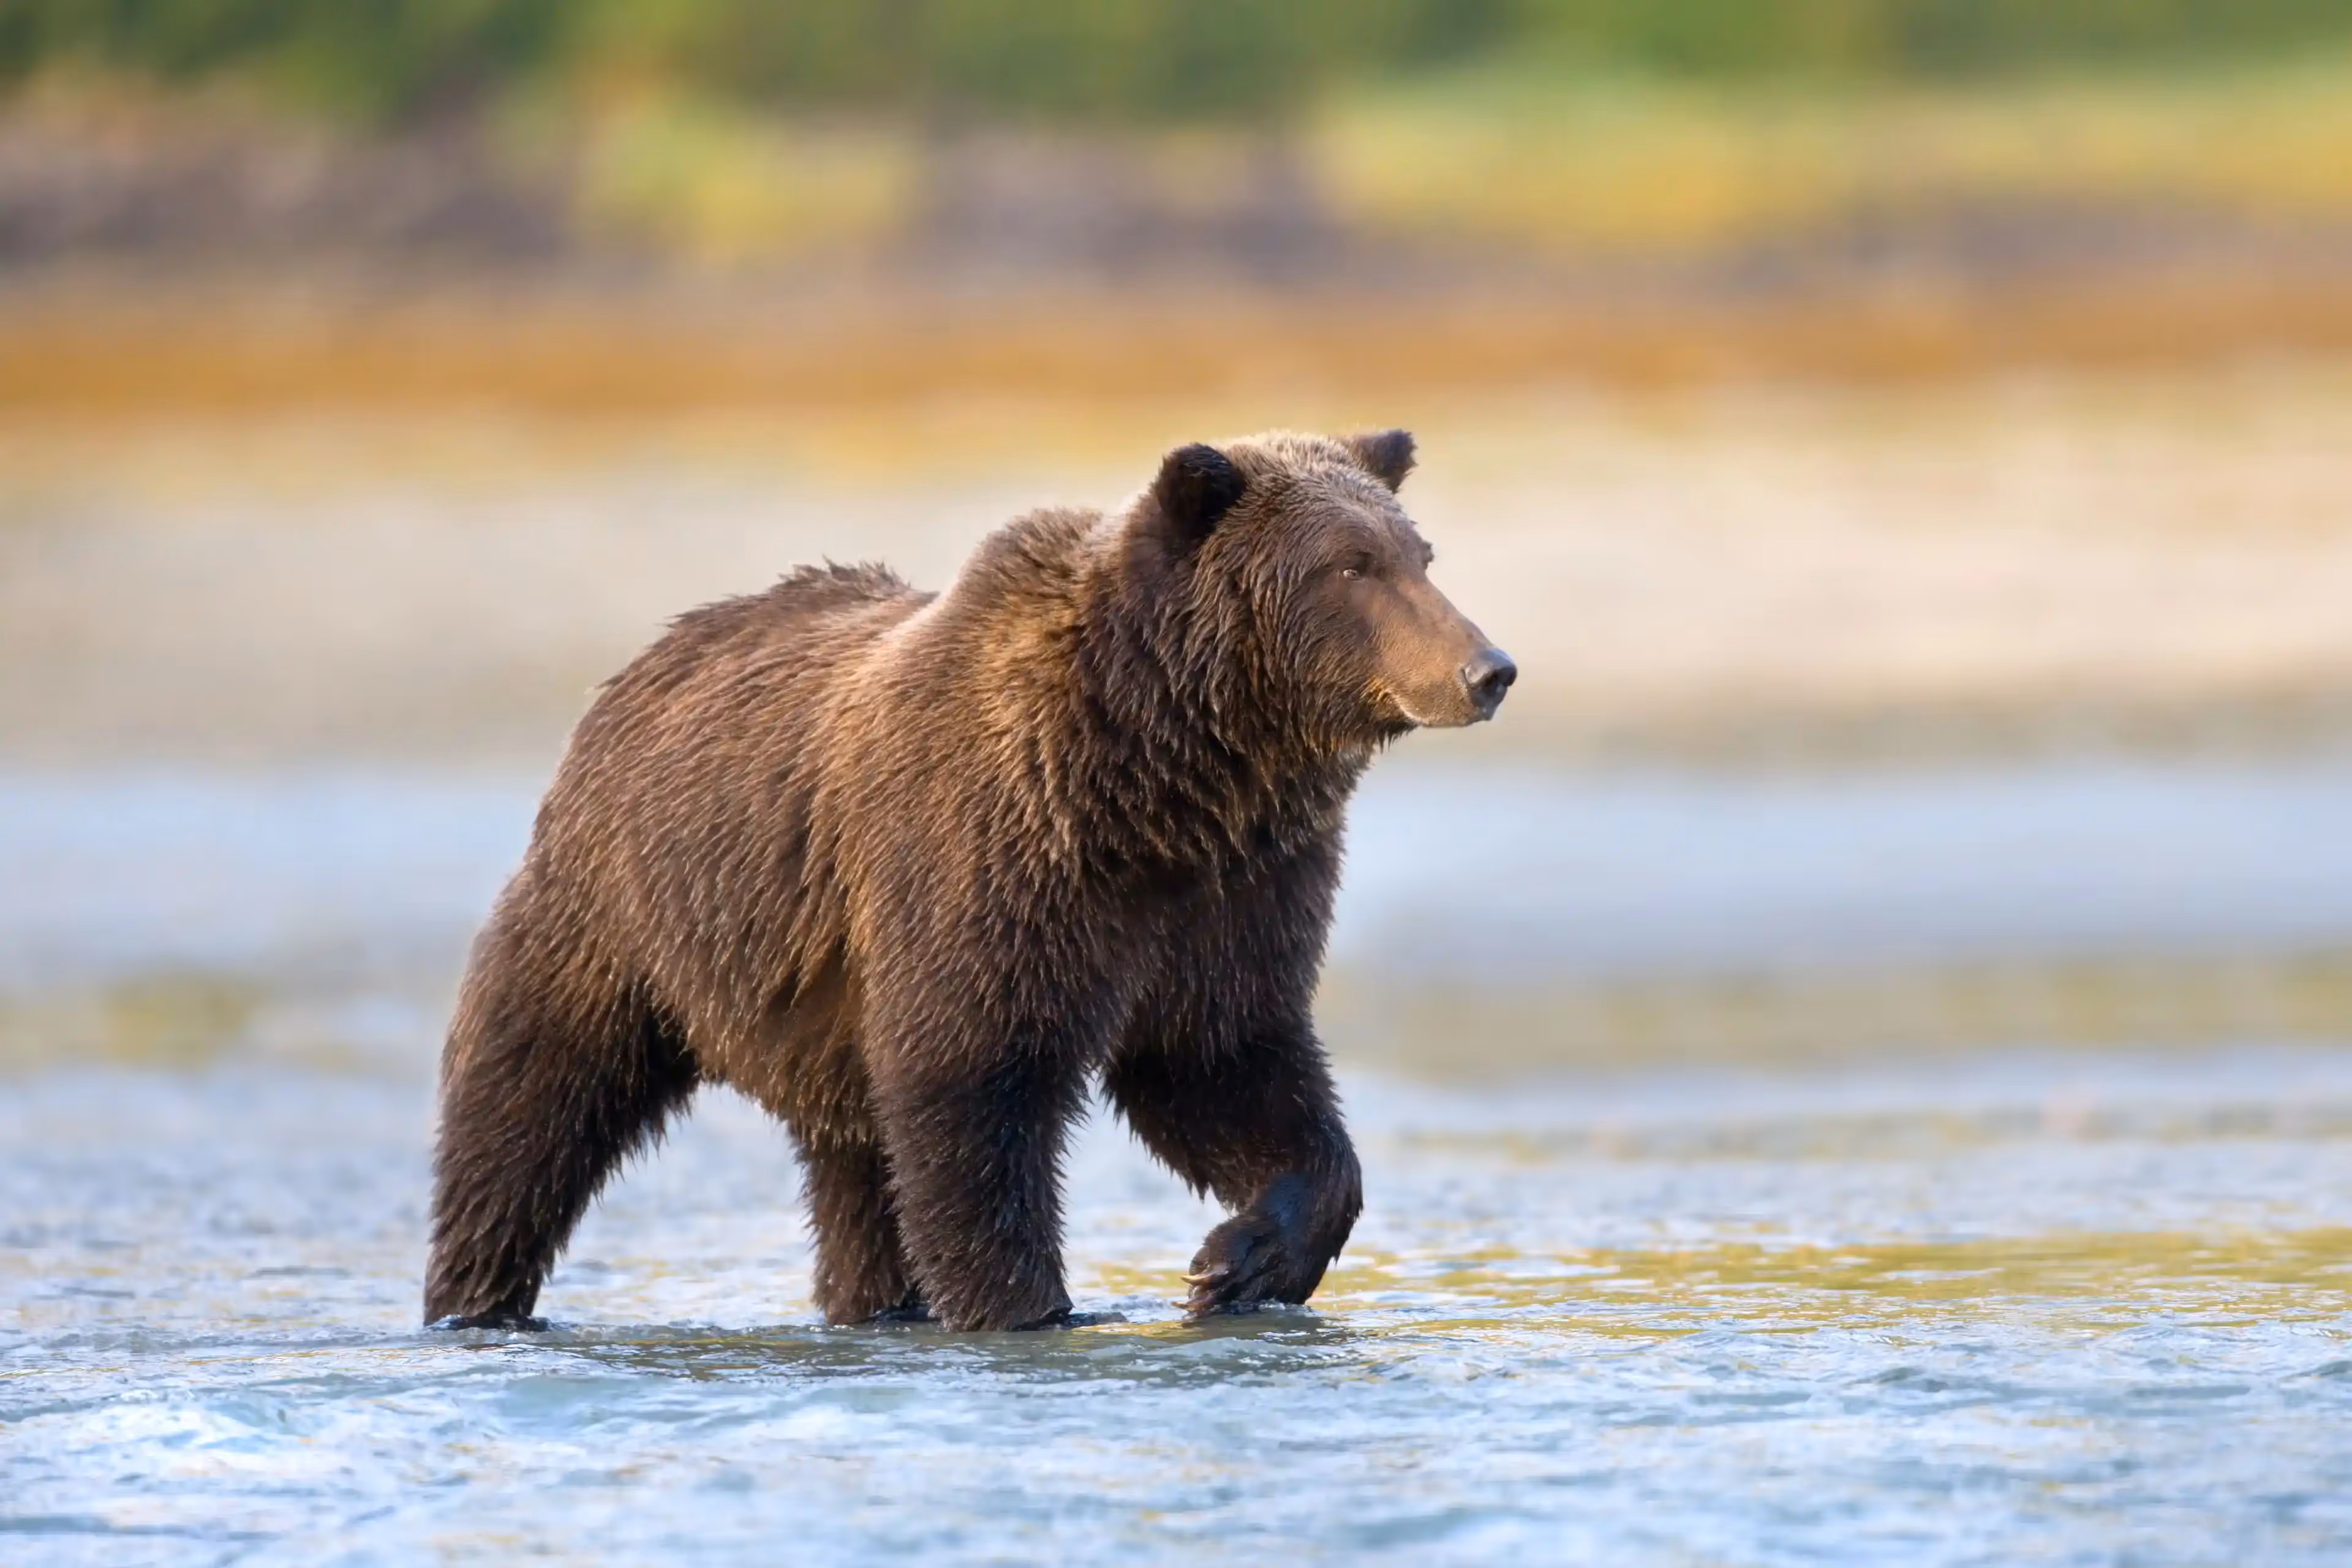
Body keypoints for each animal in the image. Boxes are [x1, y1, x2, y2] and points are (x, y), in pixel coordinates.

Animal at [423, 429, 1516, 1332]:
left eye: (1419, 555)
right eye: (1350, 565)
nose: (1488, 667)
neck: (1161, 779)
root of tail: (643, 663)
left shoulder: (1233, 892)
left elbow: (1228, 1063)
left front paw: (1235, 1265)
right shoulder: (991, 862)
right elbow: (975, 1088)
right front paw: (1031, 1306)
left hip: (820, 1020)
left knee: (855, 1176)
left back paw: (873, 1306)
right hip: (621, 916)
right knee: (531, 1107)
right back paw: (475, 1298)